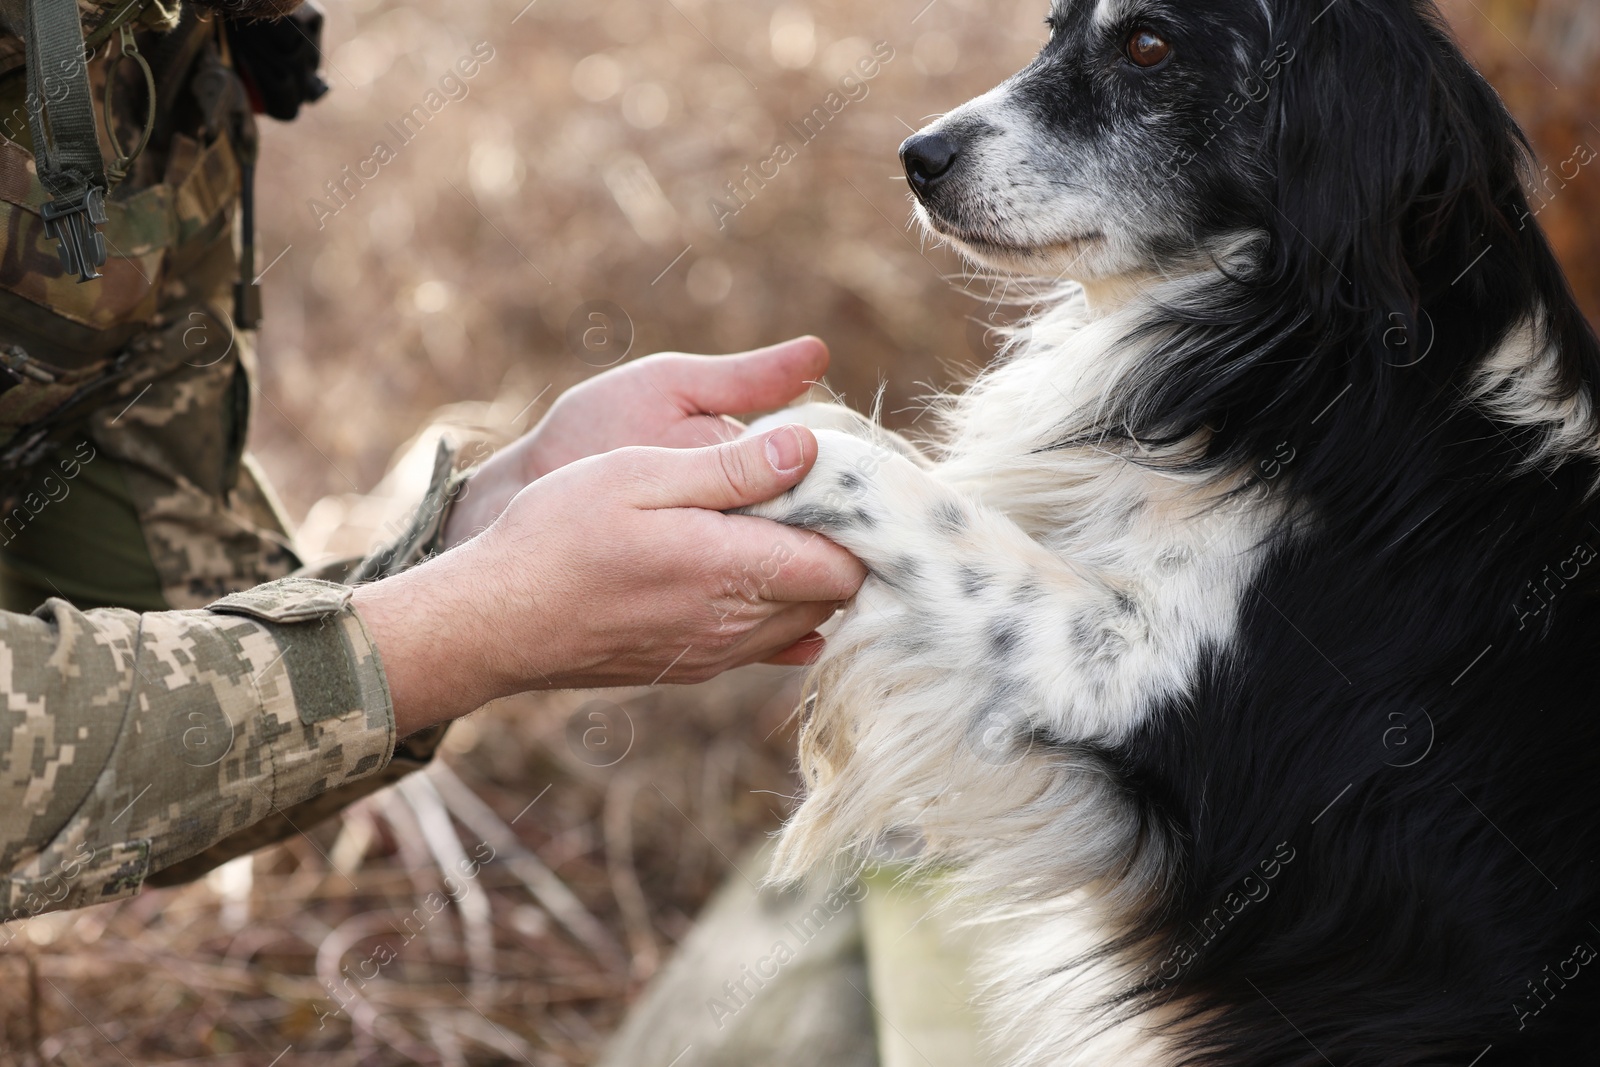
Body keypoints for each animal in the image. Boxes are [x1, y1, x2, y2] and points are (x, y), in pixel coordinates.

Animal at [736, 2, 1600, 1067]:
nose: (918, 157)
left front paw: (779, 448)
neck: (1317, 350)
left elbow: (921, 506)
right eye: (1052, 31)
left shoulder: (1132, 673)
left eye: (1148, 47)